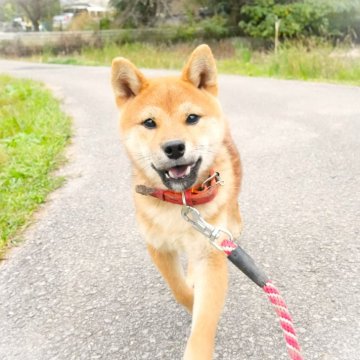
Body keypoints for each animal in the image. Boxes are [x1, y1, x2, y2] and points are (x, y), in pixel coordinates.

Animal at [111, 43, 243, 358]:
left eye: (191, 118)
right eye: (149, 122)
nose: (173, 147)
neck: (180, 201)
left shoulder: (211, 254)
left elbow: (204, 322)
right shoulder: (158, 248)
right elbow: (179, 290)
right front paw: (191, 300)